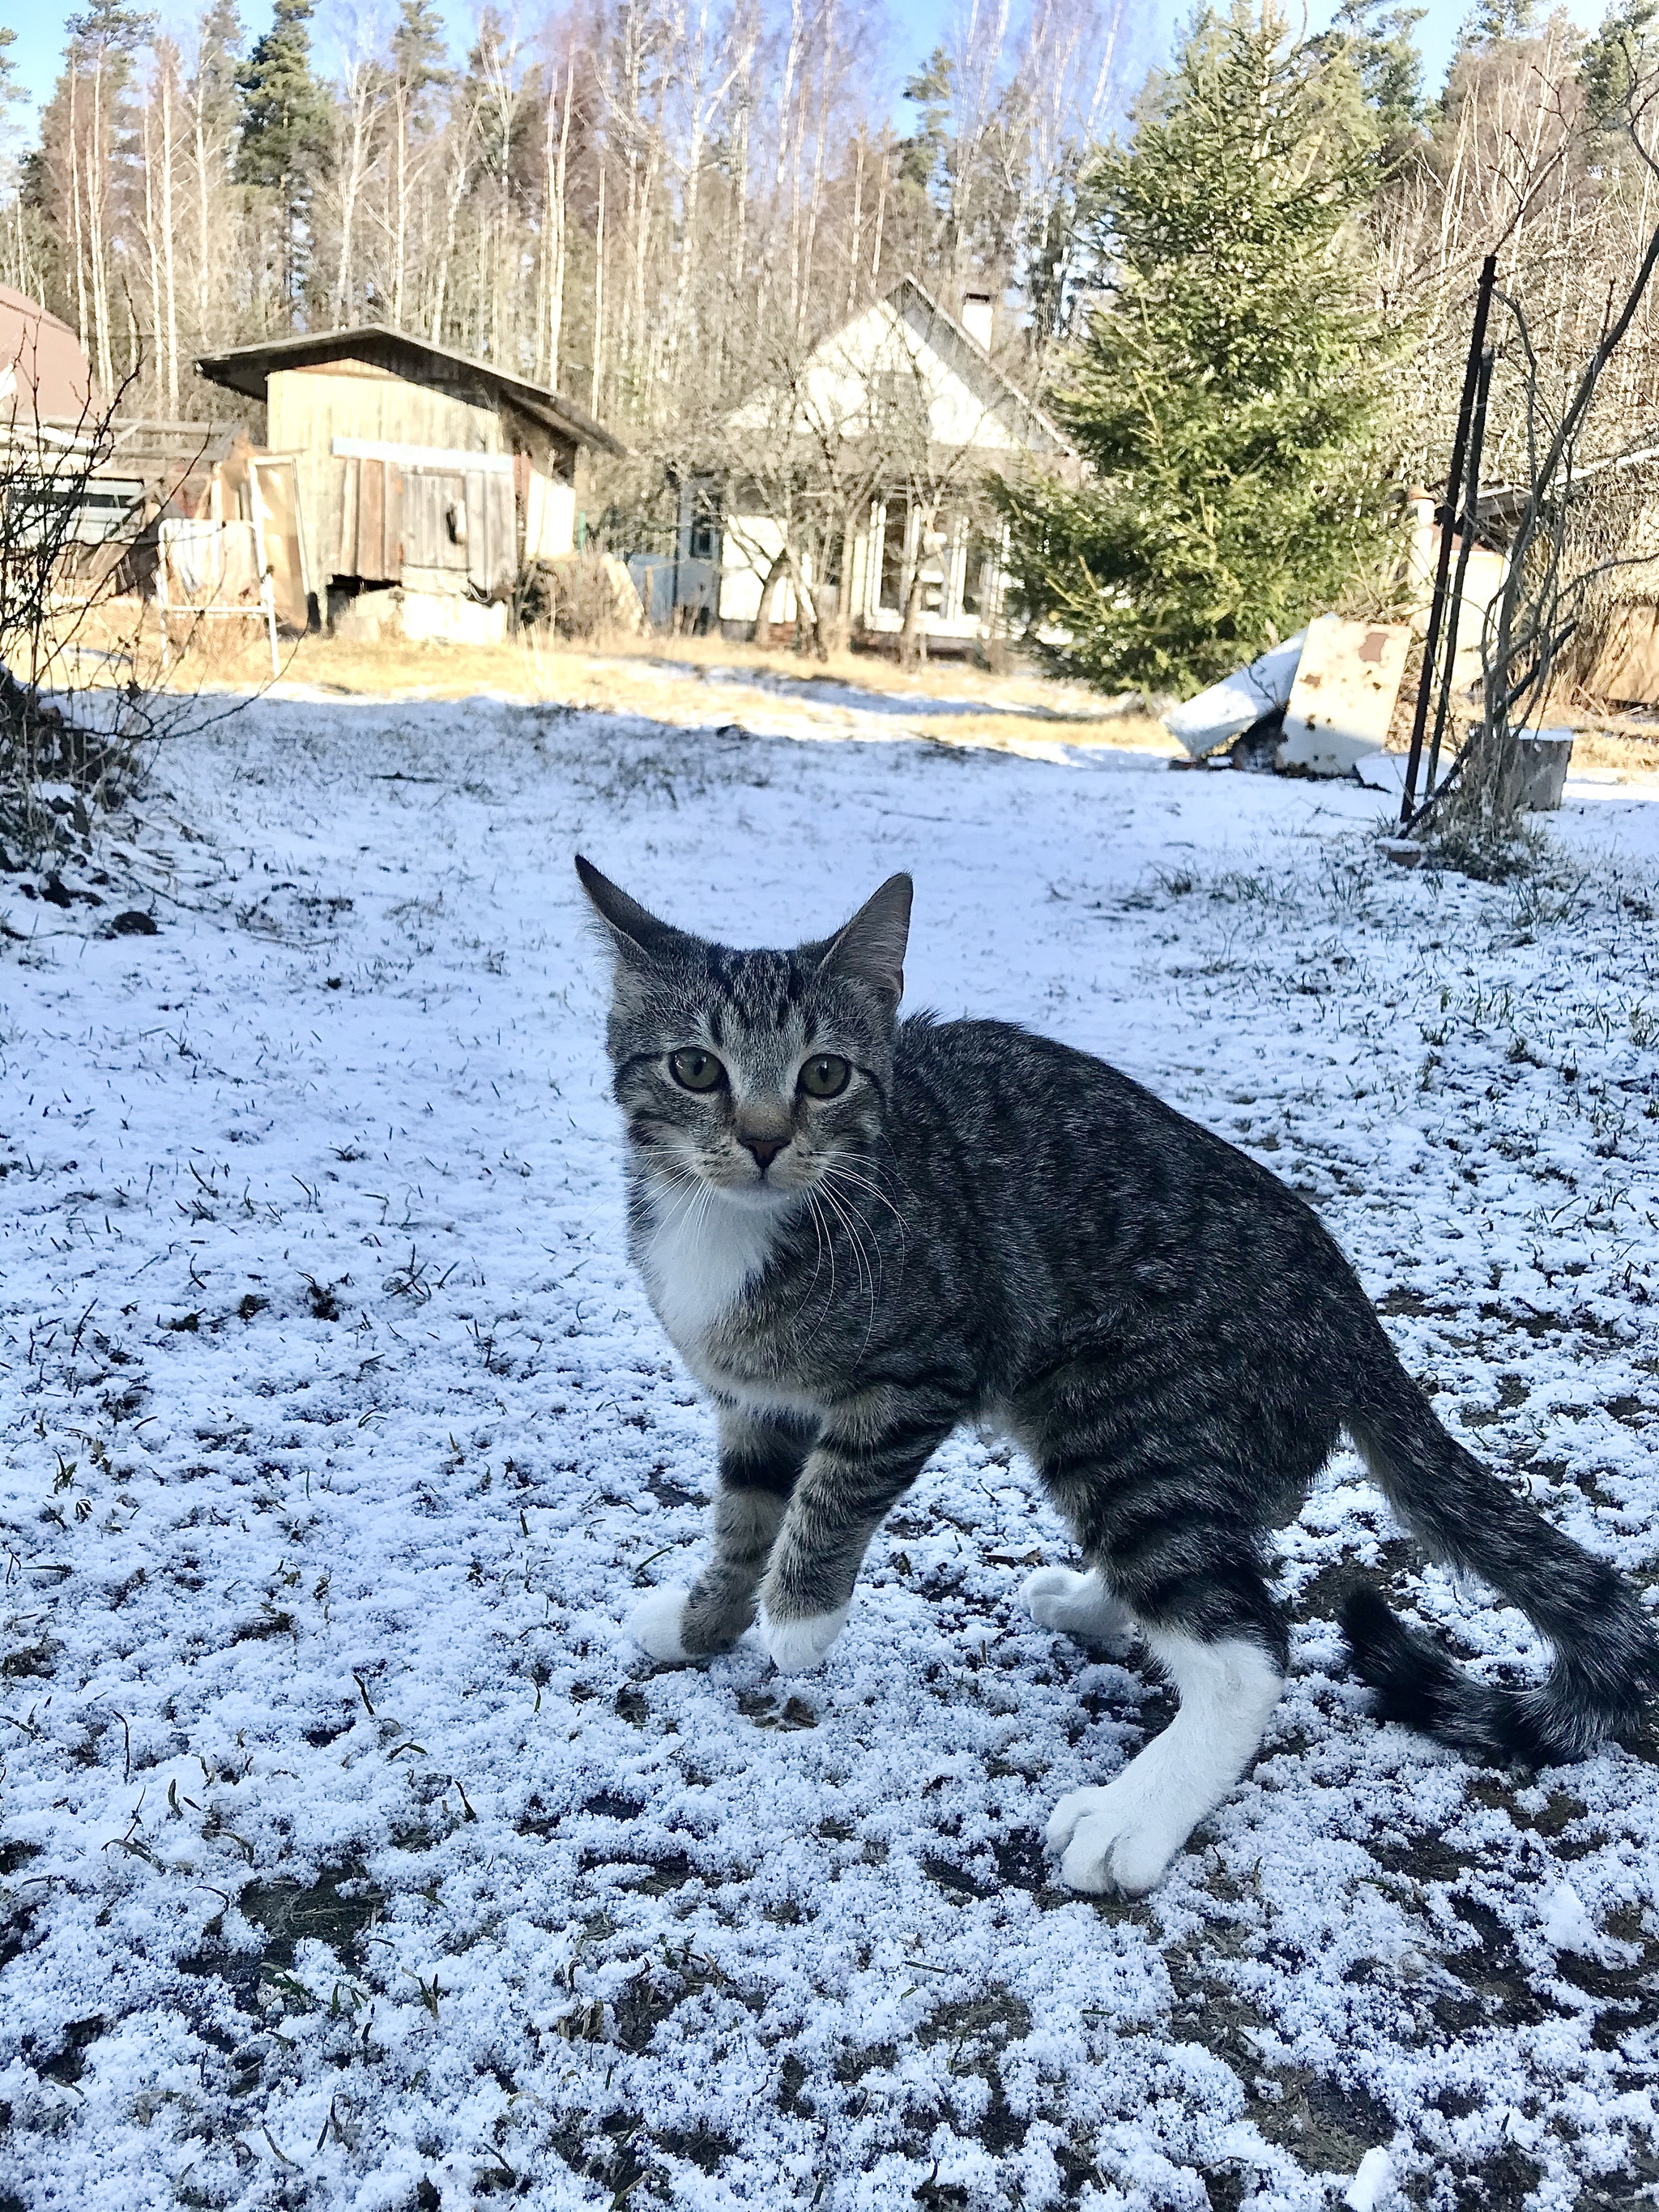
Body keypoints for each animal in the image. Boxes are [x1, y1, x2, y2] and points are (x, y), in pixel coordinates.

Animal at [579, 853, 1654, 1893]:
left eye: (825, 1074)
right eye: (694, 1068)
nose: (763, 1141)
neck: (739, 1228)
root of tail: (1346, 1303)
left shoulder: (924, 1368)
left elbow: (832, 1490)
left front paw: (800, 1617)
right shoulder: (750, 1402)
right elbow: (744, 1513)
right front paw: (704, 1622)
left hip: (1119, 1409)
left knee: (1242, 1642)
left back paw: (1135, 1815)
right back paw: (1097, 1605)